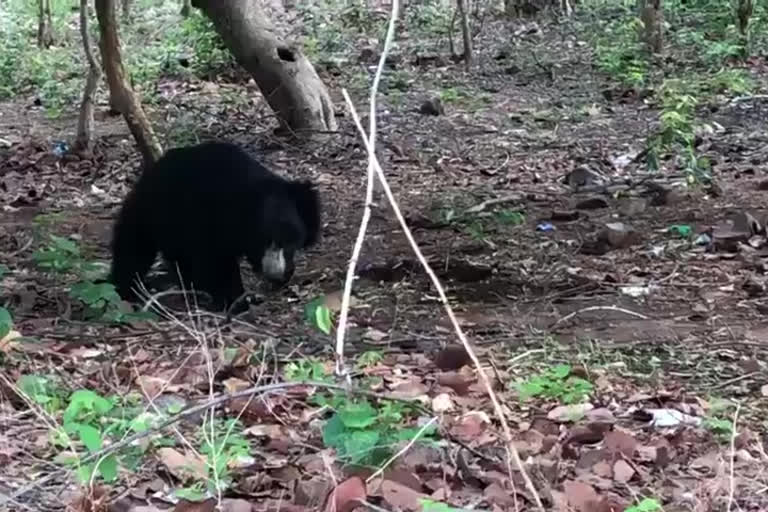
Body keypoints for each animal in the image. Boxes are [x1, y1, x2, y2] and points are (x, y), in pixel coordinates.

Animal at [108, 142, 320, 314]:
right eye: (264, 241)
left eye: (292, 243)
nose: (276, 276)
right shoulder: (207, 220)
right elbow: (215, 263)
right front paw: (236, 301)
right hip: (152, 211)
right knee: (133, 249)